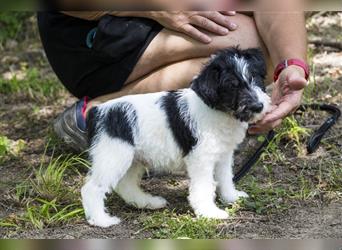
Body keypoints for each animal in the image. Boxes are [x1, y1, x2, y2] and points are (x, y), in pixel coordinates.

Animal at [82, 47, 270, 228]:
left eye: (254, 78)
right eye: (232, 86)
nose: (258, 106)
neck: (218, 109)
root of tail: (97, 111)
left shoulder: (223, 155)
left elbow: (225, 178)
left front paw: (231, 197)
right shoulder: (201, 159)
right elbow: (204, 187)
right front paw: (209, 212)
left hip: (133, 158)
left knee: (125, 185)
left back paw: (147, 202)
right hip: (113, 156)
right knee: (91, 188)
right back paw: (101, 220)